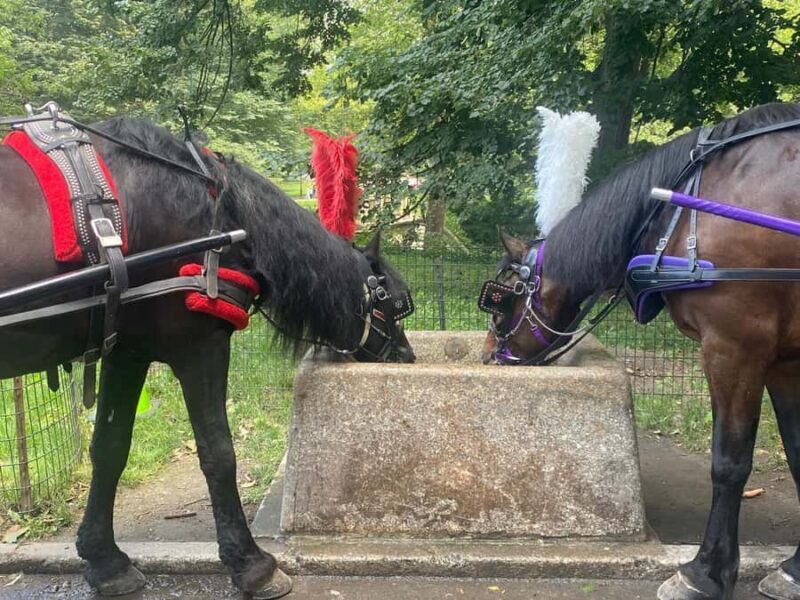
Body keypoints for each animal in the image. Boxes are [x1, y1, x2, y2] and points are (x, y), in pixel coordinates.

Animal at [0, 116, 416, 598]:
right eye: (392, 304)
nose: (408, 357)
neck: (223, 216)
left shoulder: (127, 350)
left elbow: (110, 447)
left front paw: (105, 561)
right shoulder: (198, 343)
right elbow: (218, 451)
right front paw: (251, 564)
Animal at [481, 102, 800, 600]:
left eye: (501, 301)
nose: (486, 358)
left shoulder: (735, 345)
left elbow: (729, 462)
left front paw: (705, 573)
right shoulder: (786, 360)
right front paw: (794, 569)